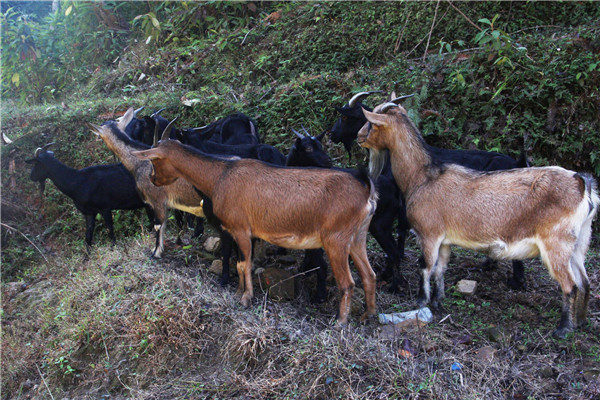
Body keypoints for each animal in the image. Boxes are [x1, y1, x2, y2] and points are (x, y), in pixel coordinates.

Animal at [26, 144, 154, 248]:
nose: (31, 176)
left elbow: (110, 229)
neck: (77, 183)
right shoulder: (89, 213)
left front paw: (114, 248)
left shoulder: (104, 208)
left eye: (36, 163)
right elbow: (88, 236)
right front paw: (86, 258)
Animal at [284, 128, 408, 300]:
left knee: (394, 253)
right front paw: (305, 269)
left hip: (379, 224)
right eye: (308, 148)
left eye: (320, 146)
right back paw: (386, 275)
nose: (328, 161)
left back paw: (394, 286)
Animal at [332, 92, 528, 290]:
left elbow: (401, 231)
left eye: (345, 117)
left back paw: (516, 280)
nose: (333, 135)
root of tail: (518, 162)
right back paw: (489, 265)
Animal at [358, 101, 596, 336]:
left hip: (556, 242)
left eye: (371, 124)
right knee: (584, 281)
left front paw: (421, 301)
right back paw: (581, 321)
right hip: (579, 241)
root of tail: (582, 185)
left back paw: (563, 329)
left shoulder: (429, 233)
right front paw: (437, 301)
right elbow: (440, 269)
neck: (423, 177)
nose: (359, 136)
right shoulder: (445, 240)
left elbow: (425, 266)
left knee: (570, 285)